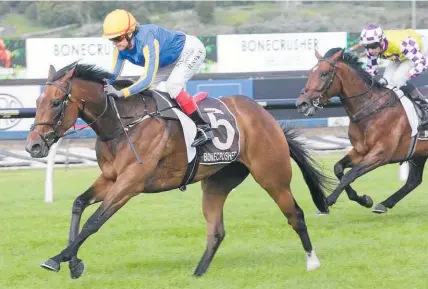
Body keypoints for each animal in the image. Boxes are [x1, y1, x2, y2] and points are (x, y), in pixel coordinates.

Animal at [24, 62, 334, 278]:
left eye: (55, 103)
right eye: (37, 102)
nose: (33, 146)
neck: (123, 123)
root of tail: (267, 117)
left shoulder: (130, 183)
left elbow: (94, 222)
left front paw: (57, 259)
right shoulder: (111, 178)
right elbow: (78, 204)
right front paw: (73, 263)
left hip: (272, 176)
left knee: (295, 214)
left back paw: (313, 261)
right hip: (217, 182)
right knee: (216, 231)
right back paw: (197, 274)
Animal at [296, 47, 428, 214]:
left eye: (324, 73)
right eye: (309, 73)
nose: (302, 104)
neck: (370, 109)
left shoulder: (380, 154)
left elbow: (350, 175)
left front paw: (327, 201)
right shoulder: (360, 151)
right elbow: (338, 168)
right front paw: (364, 200)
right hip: (419, 153)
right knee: (413, 181)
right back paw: (384, 204)